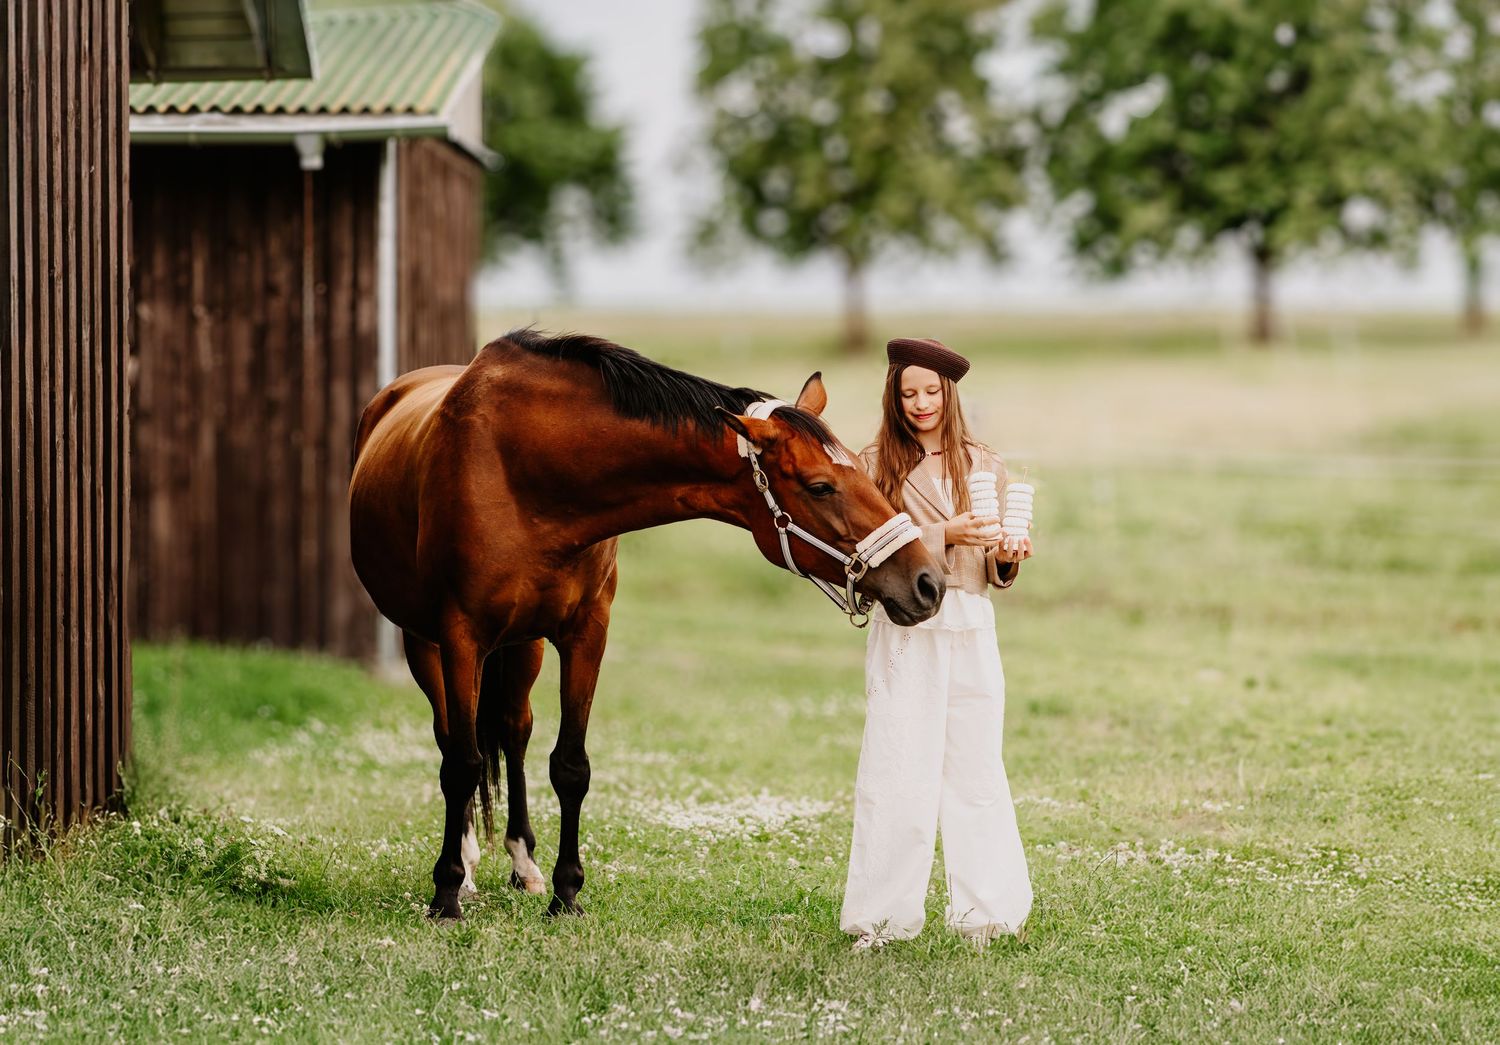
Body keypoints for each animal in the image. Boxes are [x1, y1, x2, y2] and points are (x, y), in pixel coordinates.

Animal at [348, 329, 944, 919]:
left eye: (864, 471)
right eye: (821, 486)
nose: (928, 582)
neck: (525, 472)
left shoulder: (586, 633)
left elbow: (570, 766)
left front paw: (567, 893)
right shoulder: (460, 635)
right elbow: (462, 763)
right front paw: (446, 892)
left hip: (523, 646)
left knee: (514, 731)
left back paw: (524, 865)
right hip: (428, 645)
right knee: (455, 740)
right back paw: (468, 867)